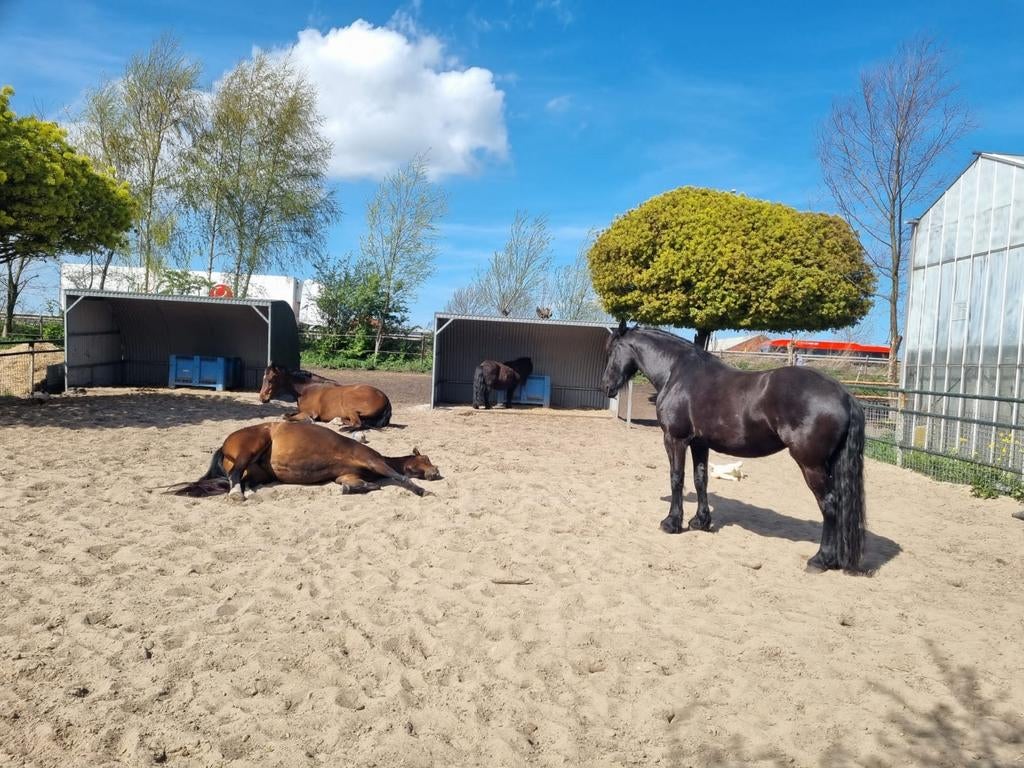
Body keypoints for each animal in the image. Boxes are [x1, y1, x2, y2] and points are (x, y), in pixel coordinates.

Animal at [166, 421, 439, 499]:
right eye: (426, 458)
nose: (436, 471)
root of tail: (225, 444)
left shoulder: (347, 475)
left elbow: (363, 485)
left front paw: (352, 489)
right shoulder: (373, 461)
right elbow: (398, 476)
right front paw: (422, 490)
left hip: (258, 471)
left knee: (246, 480)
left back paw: (250, 492)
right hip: (251, 448)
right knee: (235, 478)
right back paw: (237, 494)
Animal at [259, 364, 392, 430]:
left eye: (270, 380)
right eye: (263, 378)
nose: (262, 398)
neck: (307, 389)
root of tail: (386, 399)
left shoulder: (309, 413)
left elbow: (288, 418)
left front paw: (308, 421)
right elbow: (286, 414)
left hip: (349, 405)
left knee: (358, 424)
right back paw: (337, 421)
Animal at [602, 322, 865, 572]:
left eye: (612, 350)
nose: (606, 386)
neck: (677, 373)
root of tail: (844, 395)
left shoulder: (675, 439)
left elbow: (677, 477)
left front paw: (671, 522)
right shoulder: (699, 443)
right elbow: (700, 479)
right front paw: (700, 522)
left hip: (811, 464)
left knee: (829, 504)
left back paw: (820, 559)